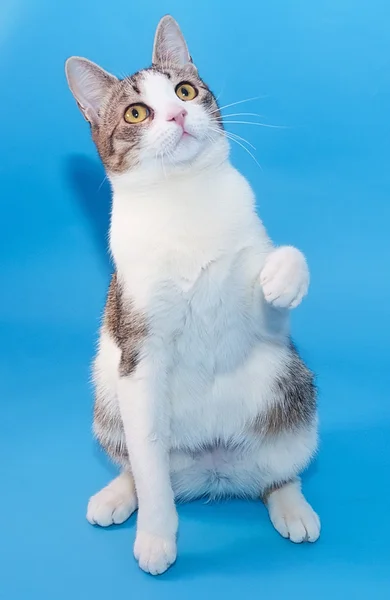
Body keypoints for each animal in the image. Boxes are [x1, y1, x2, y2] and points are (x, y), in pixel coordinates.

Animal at [64, 15, 320, 576]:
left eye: (184, 90)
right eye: (136, 112)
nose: (179, 113)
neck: (184, 199)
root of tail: (213, 471)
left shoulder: (263, 323)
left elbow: (277, 283)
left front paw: (284, 277)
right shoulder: (139, 350)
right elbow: (149, 461)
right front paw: (157, 537)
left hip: (295, 394)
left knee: (279, 471)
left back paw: (291, 504)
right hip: (108, 404)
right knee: (138, 463)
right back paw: (119, 495)